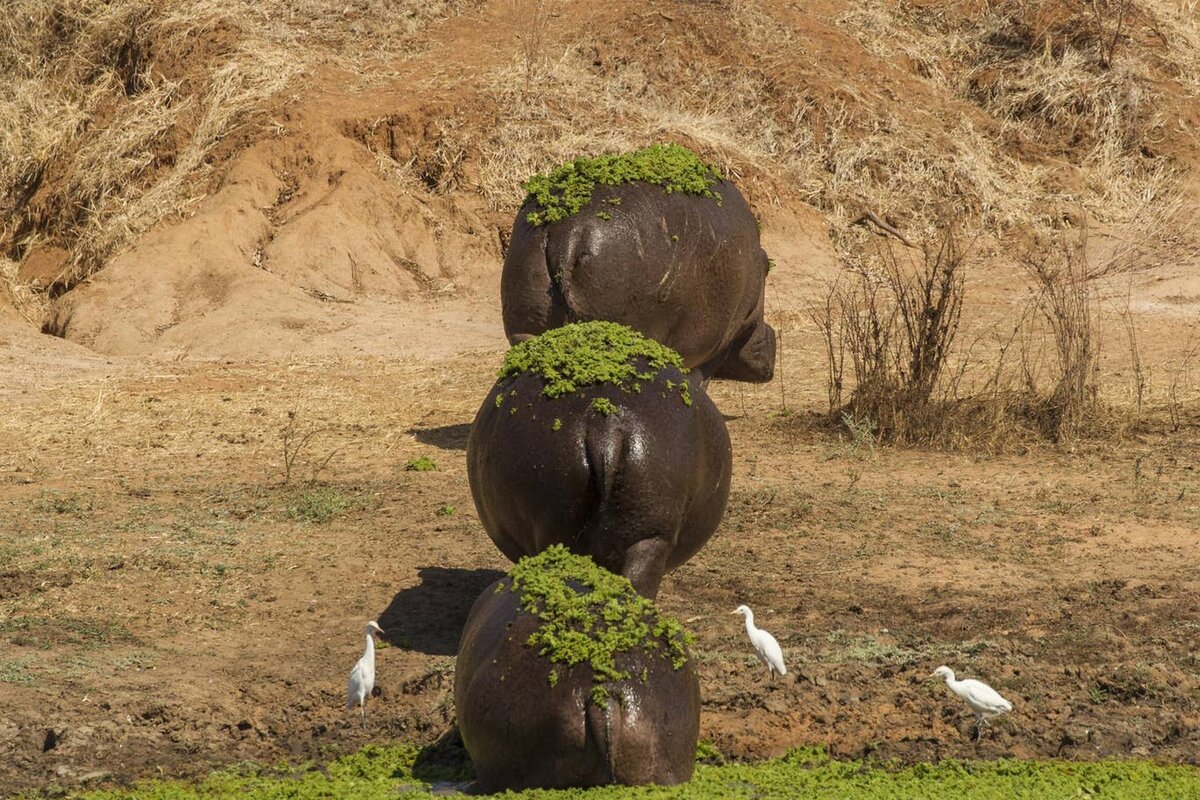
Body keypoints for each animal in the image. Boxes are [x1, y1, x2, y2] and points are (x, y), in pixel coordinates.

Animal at [499, 143, 772, 383]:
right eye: (768, 269)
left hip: (525, 313)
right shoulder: (720, 340)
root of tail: (568, 231)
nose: (772, 336)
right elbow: (702, 375)